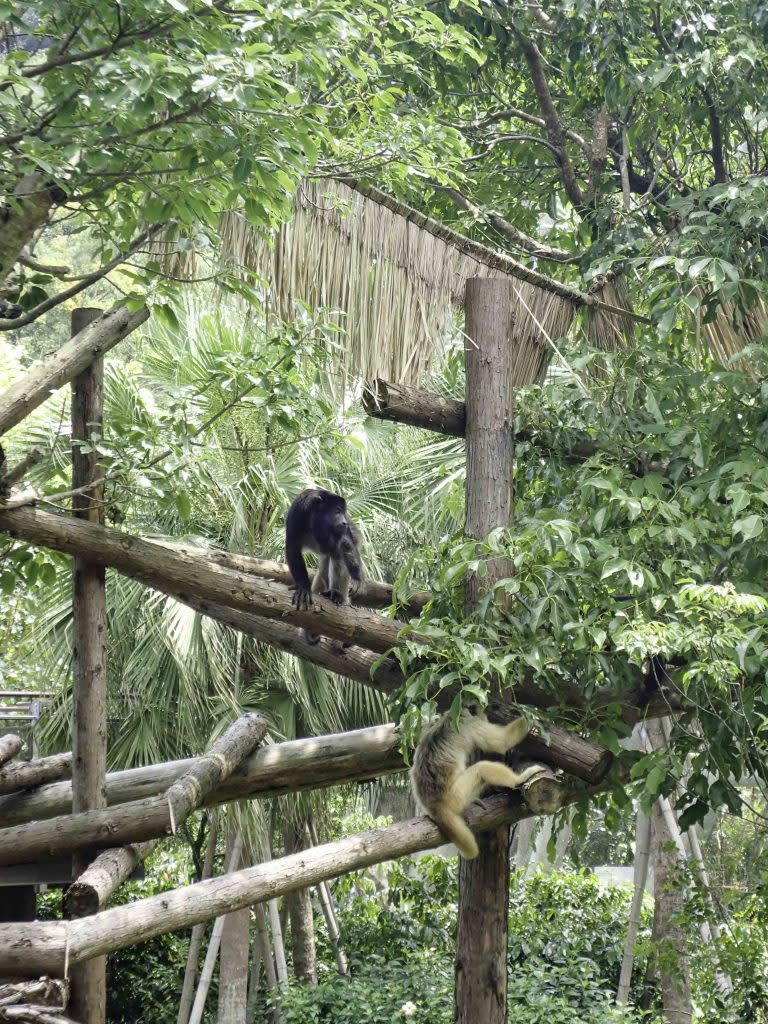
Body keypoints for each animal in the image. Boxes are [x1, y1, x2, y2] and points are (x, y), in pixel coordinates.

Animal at [415, 708, 540, 860]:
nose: (483, 715)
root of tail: (434, 805)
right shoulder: (471, 725)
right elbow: (502, 741)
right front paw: (532, 717)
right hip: (456, 795)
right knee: (482, 768)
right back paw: (518, 780)